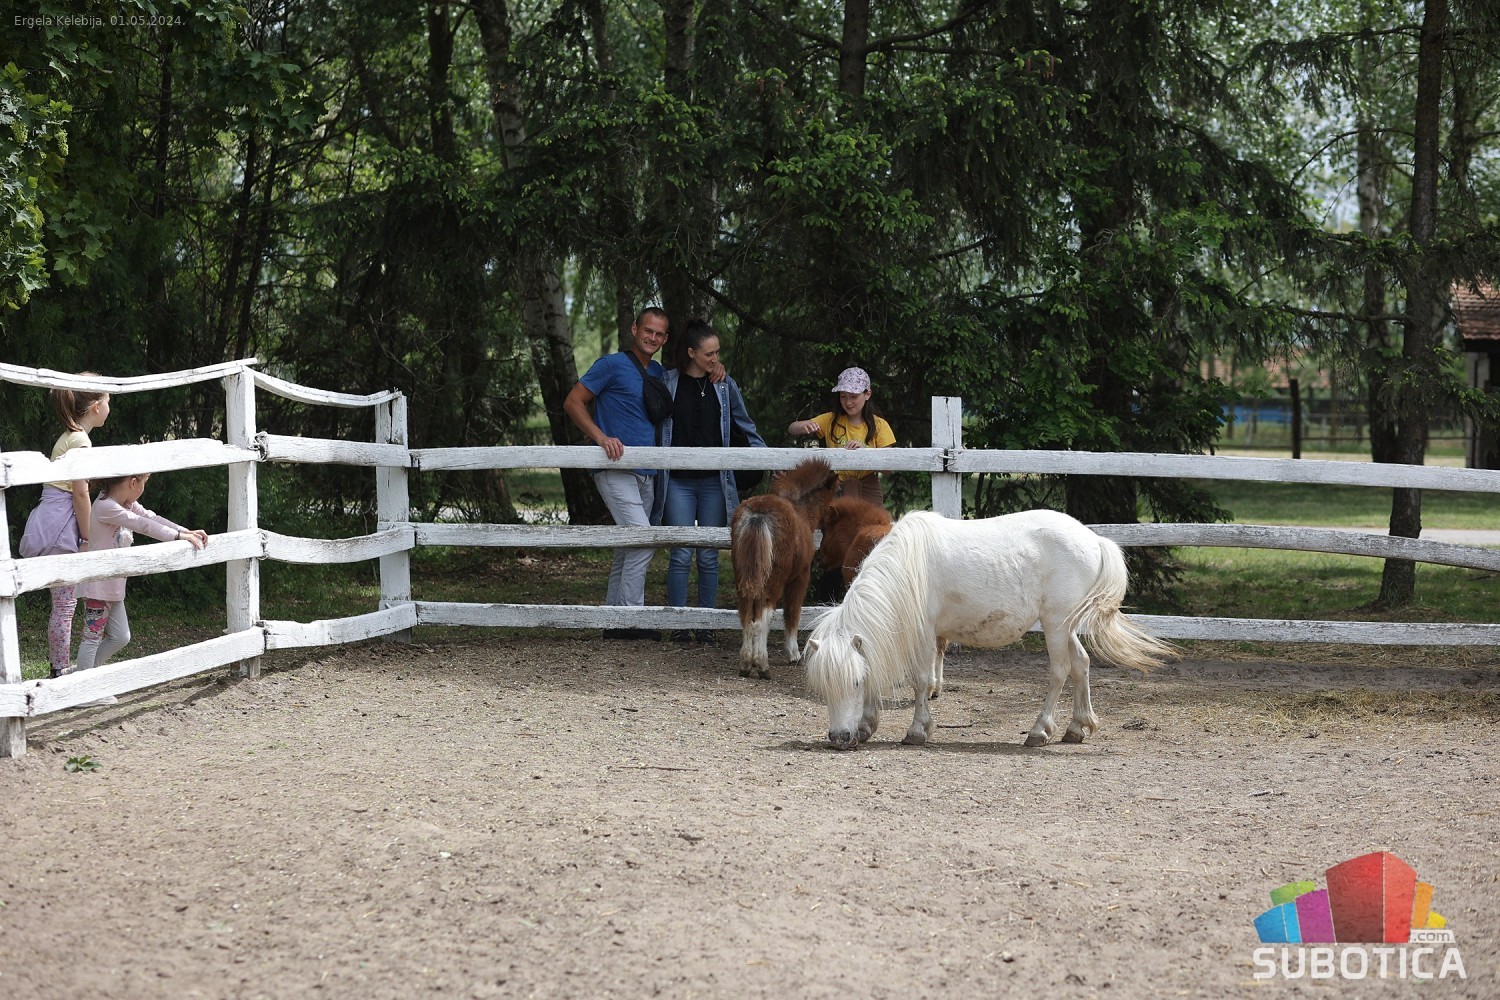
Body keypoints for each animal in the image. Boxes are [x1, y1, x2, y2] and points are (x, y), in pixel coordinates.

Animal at [730, 457, 839, 678]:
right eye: (837, 490)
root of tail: (758, 514)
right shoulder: (801, 577)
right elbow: (792, 612)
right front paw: (794, 654)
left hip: (744, 576)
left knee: (746, 612)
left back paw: (746, 664)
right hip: (774, 580)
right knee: (764, 615)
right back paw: (762, 665)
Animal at [803, 509, 1176, 750]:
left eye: (852, 683)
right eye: (823, 686)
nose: (838, 738)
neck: (908, 567)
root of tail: (1095, 541)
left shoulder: (925, 634)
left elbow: (921, 681)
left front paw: (917, 731)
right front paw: (867, 726)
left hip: (1056, 625)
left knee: (1060, 671)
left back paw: (1039, 732)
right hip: (1066, 626)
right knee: (1081, 665)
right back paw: (1077, 728)